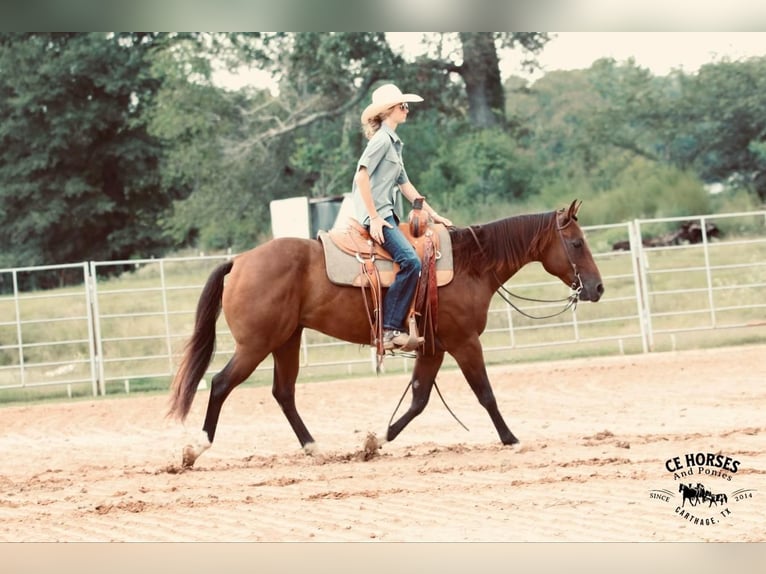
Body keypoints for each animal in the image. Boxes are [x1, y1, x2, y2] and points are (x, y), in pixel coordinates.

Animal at [168, 200, 608, 470]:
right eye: (576, 243)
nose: (598, 288)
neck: (471, 264)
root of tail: (240, 261)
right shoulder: (465, 342)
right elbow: (485, 393)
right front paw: (511, 439)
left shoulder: (434, 347)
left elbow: (418, 399)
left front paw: (375, 440)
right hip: (256, 344)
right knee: (221, 383)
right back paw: (195, 449)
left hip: (285, 340)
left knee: (283, 392)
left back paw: (313, 447)